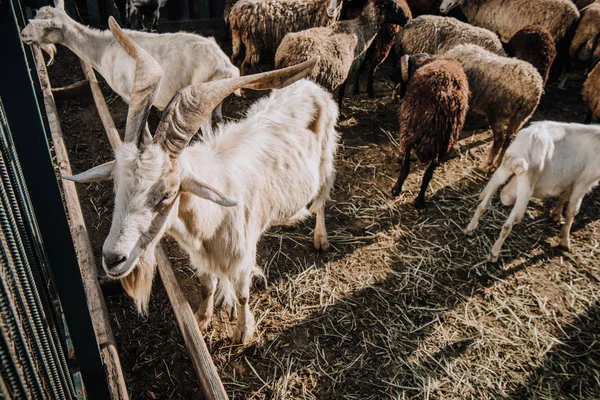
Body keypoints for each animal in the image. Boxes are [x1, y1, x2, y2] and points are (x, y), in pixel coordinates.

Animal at [66, 18, 340, 344]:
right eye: (116, 185)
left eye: (167, 194)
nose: (112, 259)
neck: (210, 219)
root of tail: (310, 86)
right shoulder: (201, 256)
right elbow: (208, 285)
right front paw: (203, 317)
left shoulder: (242, 258)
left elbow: (243, 295)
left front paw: (242, 332)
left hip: (325, 160)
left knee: (321, 199)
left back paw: (320, 238)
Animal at [392, 54, 472, 209]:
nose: (392, 77)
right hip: (444, 141)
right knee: (428, 173)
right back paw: (419, 199)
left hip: (411, 130)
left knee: (407, 165)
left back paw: (399, 190)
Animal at [464, 121, 600, 262]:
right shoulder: (583, 182)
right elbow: (572, 212)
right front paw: (565, 242)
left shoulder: (571, 179)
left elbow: (564, 196)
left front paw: (556, 214)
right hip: (525, 189)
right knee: (507, 225)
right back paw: (494, 254)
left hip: (503, 172)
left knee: (482, 205)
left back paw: (470, 228)